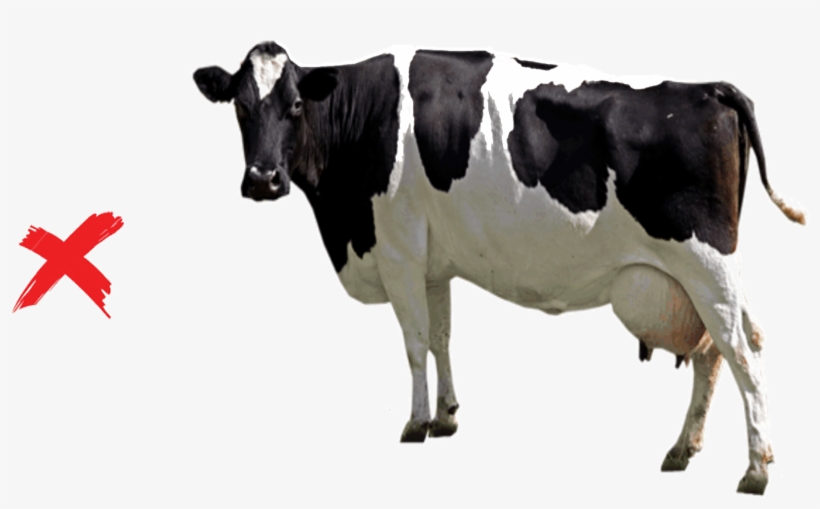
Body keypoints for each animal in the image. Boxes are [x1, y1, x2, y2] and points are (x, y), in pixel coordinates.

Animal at [193, 41, 805, 495]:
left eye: (295, 105)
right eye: (240, 106)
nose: (263, 179)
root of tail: (709, 88)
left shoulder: (398, 251)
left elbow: (415, 343)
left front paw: (415, 423)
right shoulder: (433, 264)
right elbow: (441, 337)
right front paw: (446, 416)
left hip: (705, 261)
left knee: (741, 350)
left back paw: (755, 469)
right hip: (702, 274)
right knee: (717, 351)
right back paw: (683, 449)